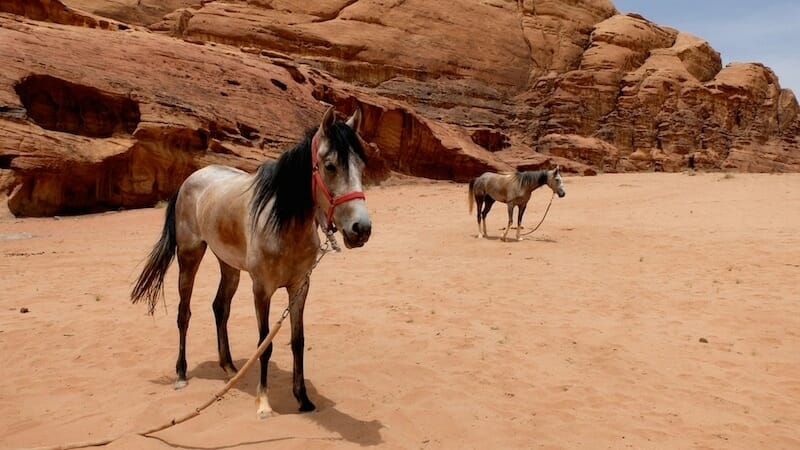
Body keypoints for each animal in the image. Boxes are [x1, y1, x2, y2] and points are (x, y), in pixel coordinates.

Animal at [131, 107, 372, 416]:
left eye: (361, 166)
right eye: (330, 166)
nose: (361, 229)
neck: (283, 224)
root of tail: (191, 179)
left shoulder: (300, 287)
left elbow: (297, 341)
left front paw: (303, 399)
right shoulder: (261, 289)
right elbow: (264, 344)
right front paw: (264, 402)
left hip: (229, 265)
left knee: (220, 308)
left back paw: (230, 368)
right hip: (189, 256)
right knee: (184, 313)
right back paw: (182, 375)